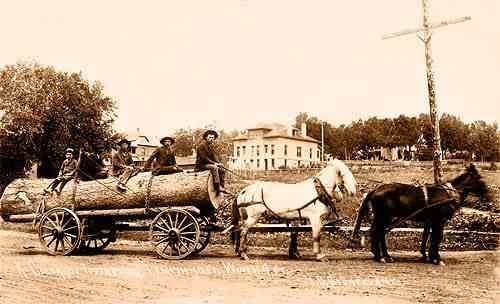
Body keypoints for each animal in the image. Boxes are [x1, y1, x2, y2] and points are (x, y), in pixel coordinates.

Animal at [352, 164, 488, 266]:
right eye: (480, 178)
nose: (488, 193)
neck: (448, 194)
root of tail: (375, 189)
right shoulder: (440, 220)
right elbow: (437, 237)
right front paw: (436, 258)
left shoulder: (431, 221)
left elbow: (428, 236)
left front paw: (429, 256)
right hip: (383, 217)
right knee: (377, 233)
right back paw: (380, 256)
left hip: (385, 217)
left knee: (378, 233)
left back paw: (383, 255)